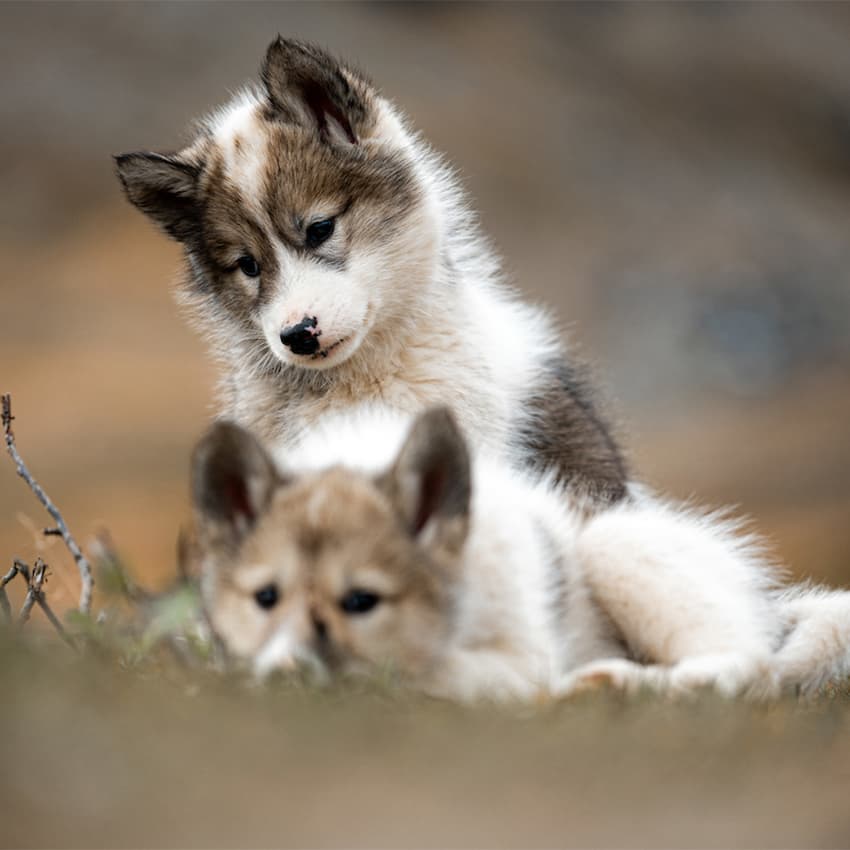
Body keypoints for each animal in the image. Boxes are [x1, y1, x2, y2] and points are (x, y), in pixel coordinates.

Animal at [190, 408, 848, 700]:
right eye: (265, 597)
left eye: (362, 600)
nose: (289, 680)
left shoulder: (522, 659)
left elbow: (426, 671)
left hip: (616, 546)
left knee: (745, 666)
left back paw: (613, 683)